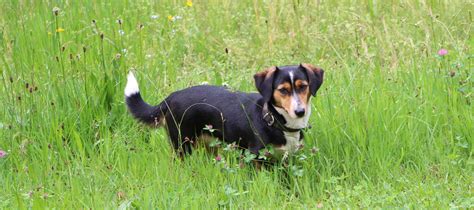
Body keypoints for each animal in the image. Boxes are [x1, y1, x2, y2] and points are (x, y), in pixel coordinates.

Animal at [124, 64, 324, 159]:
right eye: (283, 90)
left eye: (303, 86)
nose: (300, 111)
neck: (272, 119)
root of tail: (170, 97)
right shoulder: (255, 157)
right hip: (182, 144)